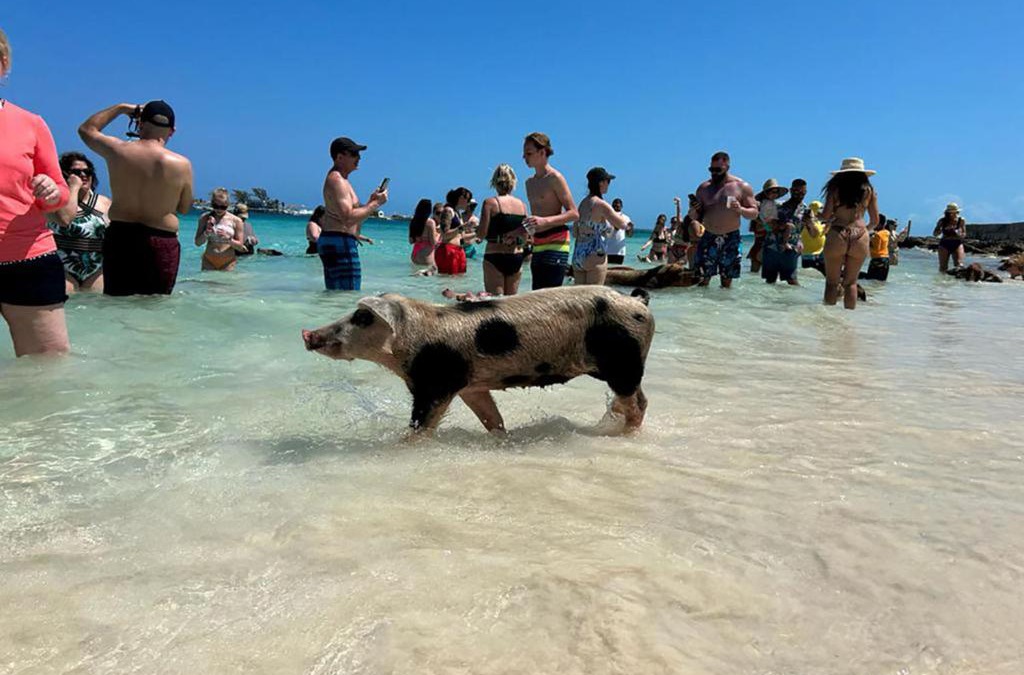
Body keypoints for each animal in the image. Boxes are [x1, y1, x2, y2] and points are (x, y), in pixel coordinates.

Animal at [302, 286, 654, 434]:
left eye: (361, 317)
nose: (307, 334)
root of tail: (638, 300)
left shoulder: (436, 383)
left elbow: (421, 426)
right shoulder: (472, 386)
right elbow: (491, 418)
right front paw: (502, 438)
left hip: (623, 361)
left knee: (638, 402)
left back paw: (625, 433)